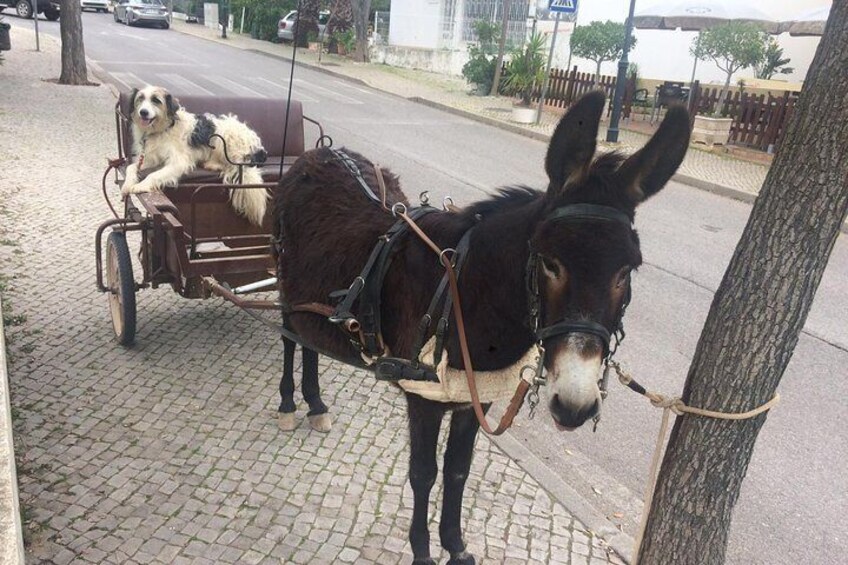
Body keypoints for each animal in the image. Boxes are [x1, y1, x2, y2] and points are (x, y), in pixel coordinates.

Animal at [121, 85, 268, 224]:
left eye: (156, 100)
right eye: (140, 98)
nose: (143, 112)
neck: (163, 128)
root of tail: (257, 145)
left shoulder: (179, 162)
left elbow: (154, 175)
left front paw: (141, 186)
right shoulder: (150, 158)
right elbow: (131, 167)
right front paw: (127, 184)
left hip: (224, 138)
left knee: (229, 164)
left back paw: (213, 165)